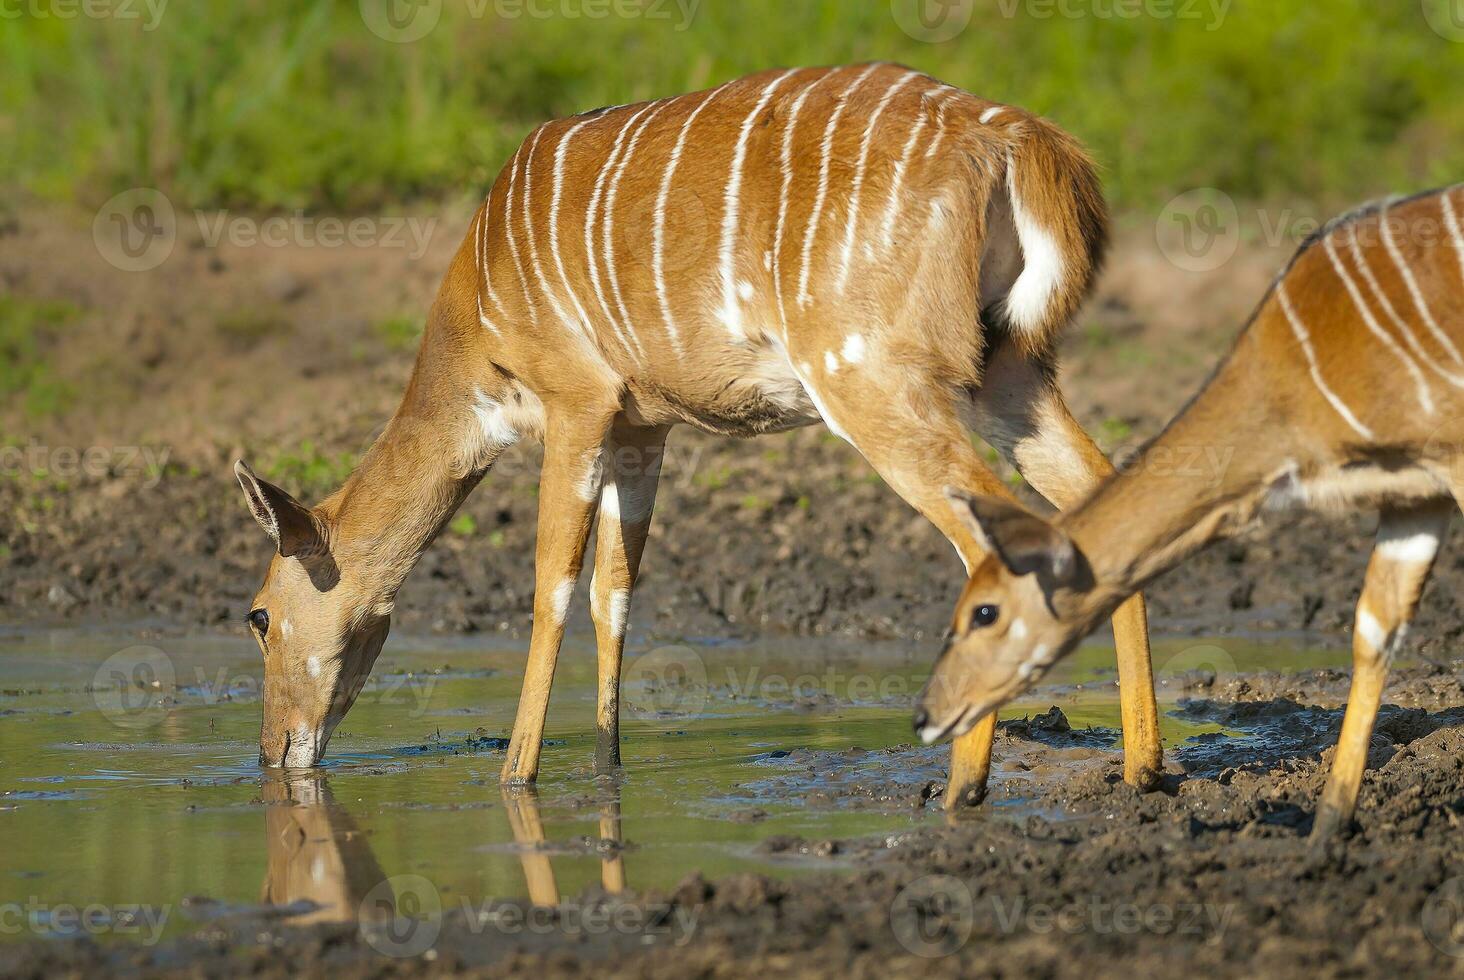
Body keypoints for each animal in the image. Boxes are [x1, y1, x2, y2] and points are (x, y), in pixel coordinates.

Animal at [234, 62, 1159, 808]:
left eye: (257, 616)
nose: (273, 754)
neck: (473, 322)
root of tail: (1017, 141)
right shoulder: (643, 427)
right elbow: (615, 592)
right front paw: (606, 765)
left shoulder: (576, 401)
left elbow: (551, 588)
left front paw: (516, 776)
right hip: (1009, 370)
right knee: (1096, 497)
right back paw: (1141, 771)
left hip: (870, 376)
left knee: (991, 541)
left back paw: (962, 790)